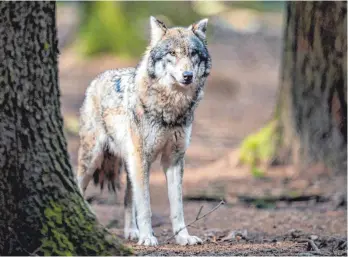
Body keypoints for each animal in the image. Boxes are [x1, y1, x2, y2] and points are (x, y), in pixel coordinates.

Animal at [76, 16, 212, 246]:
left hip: (130, 164)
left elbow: (177, 207)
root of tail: (99, 77)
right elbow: (146, 206)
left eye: (193, 53)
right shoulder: (142, 158)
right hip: (93, 159)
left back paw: (132, 232)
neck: (170, 108)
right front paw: (148, 237)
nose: (188, 75)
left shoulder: (174, 160)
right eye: (172, 53)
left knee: (127, 199)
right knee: (79, 186)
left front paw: (183, 237)